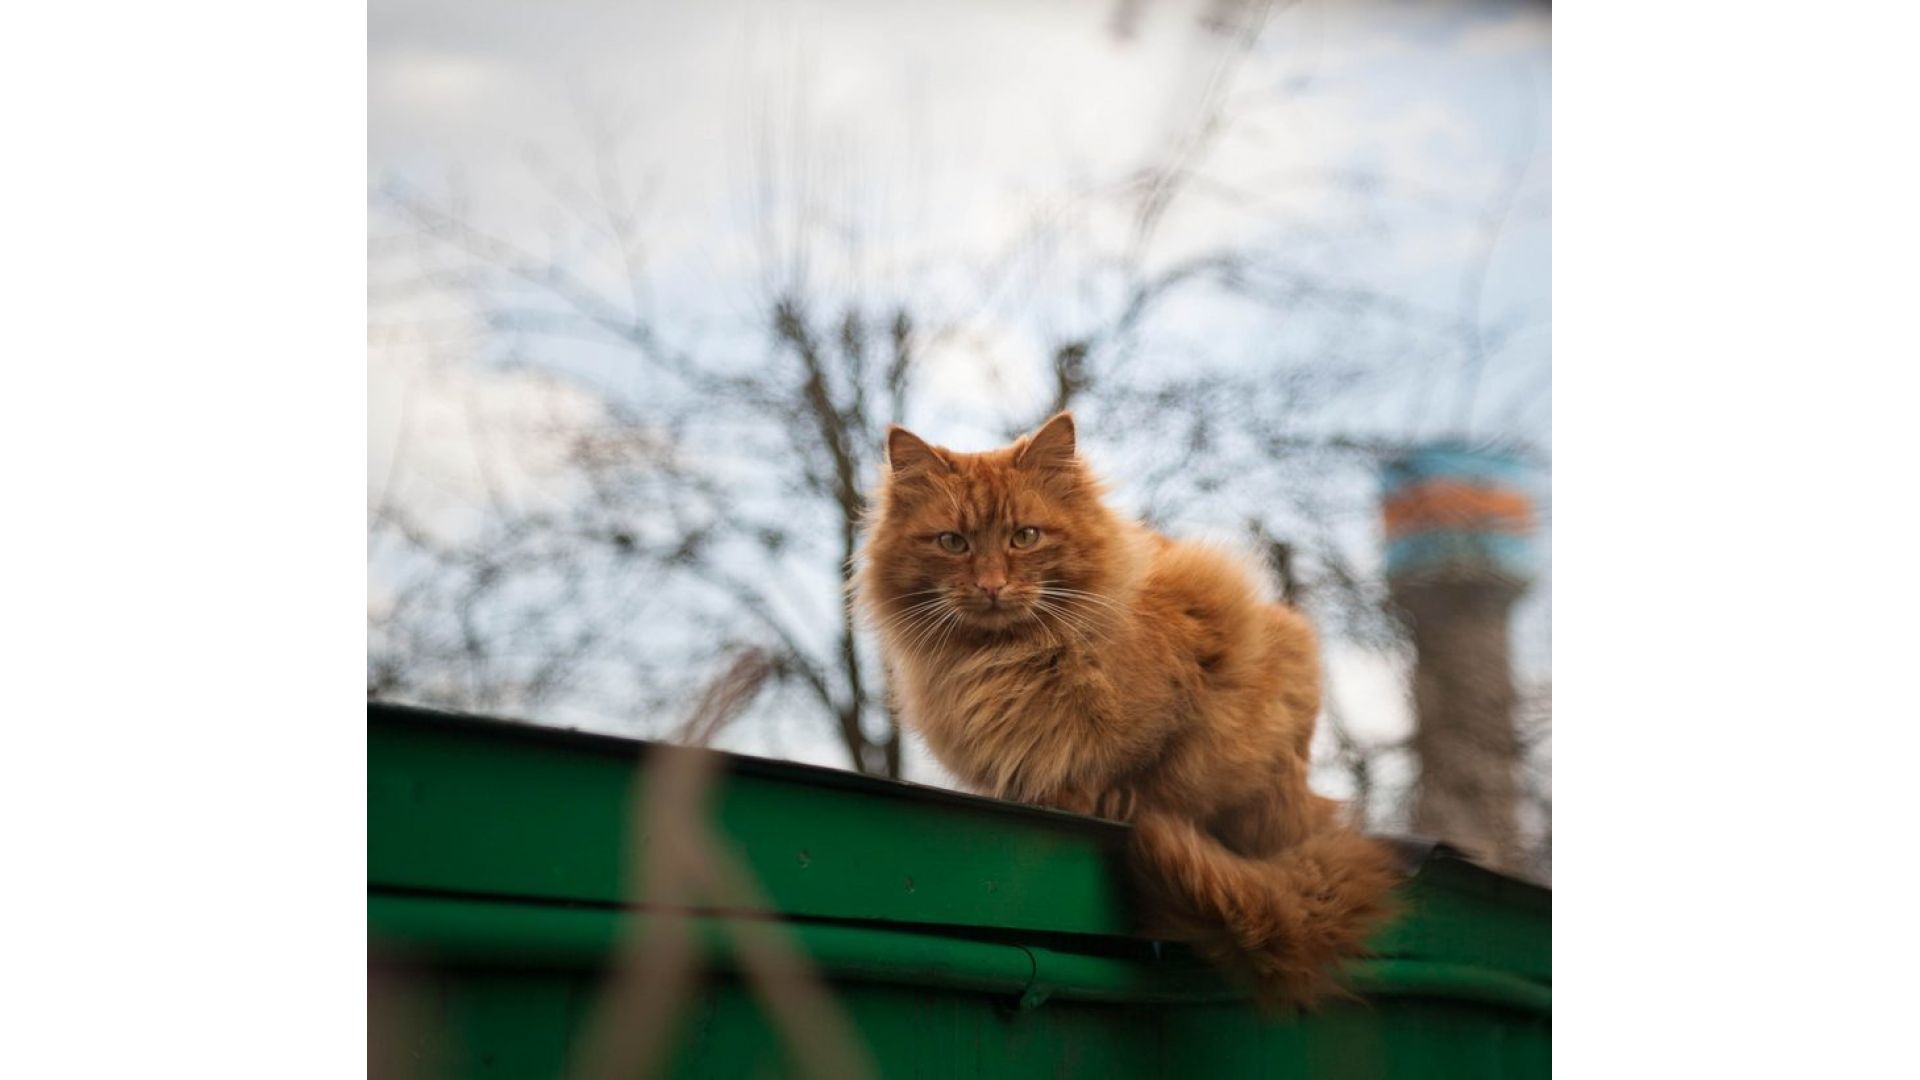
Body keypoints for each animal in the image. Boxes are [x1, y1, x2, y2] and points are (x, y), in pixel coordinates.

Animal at [853, 411, 1400, 1008]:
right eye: (953, 543)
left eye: (1025, 537)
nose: (992, 586)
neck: (1005, 657)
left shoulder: (1197, 666)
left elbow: (1140, 769)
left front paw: (1107, 800)